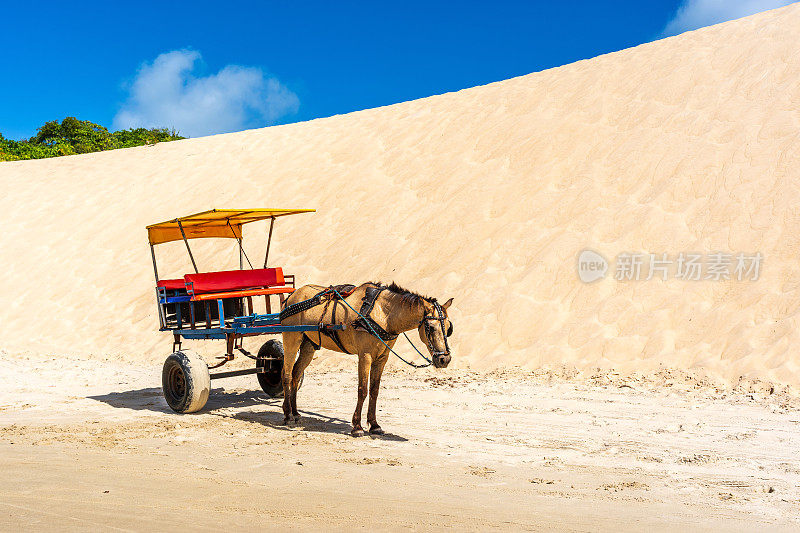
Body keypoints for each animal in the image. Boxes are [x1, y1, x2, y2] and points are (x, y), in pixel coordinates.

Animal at [280, 280, 456, 434]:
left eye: (449, 328)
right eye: (431, 328)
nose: (444, 359)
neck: (383, 313)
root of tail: (291, 296)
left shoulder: (381, 359)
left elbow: (374, 390)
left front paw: (374, 424)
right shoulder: (365, 356)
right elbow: (363, 389)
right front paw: (357, 426)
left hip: (309, 344)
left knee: (296, 374)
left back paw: (295, 412)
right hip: (291, 339)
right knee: (287, 374)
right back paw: (287, 414)